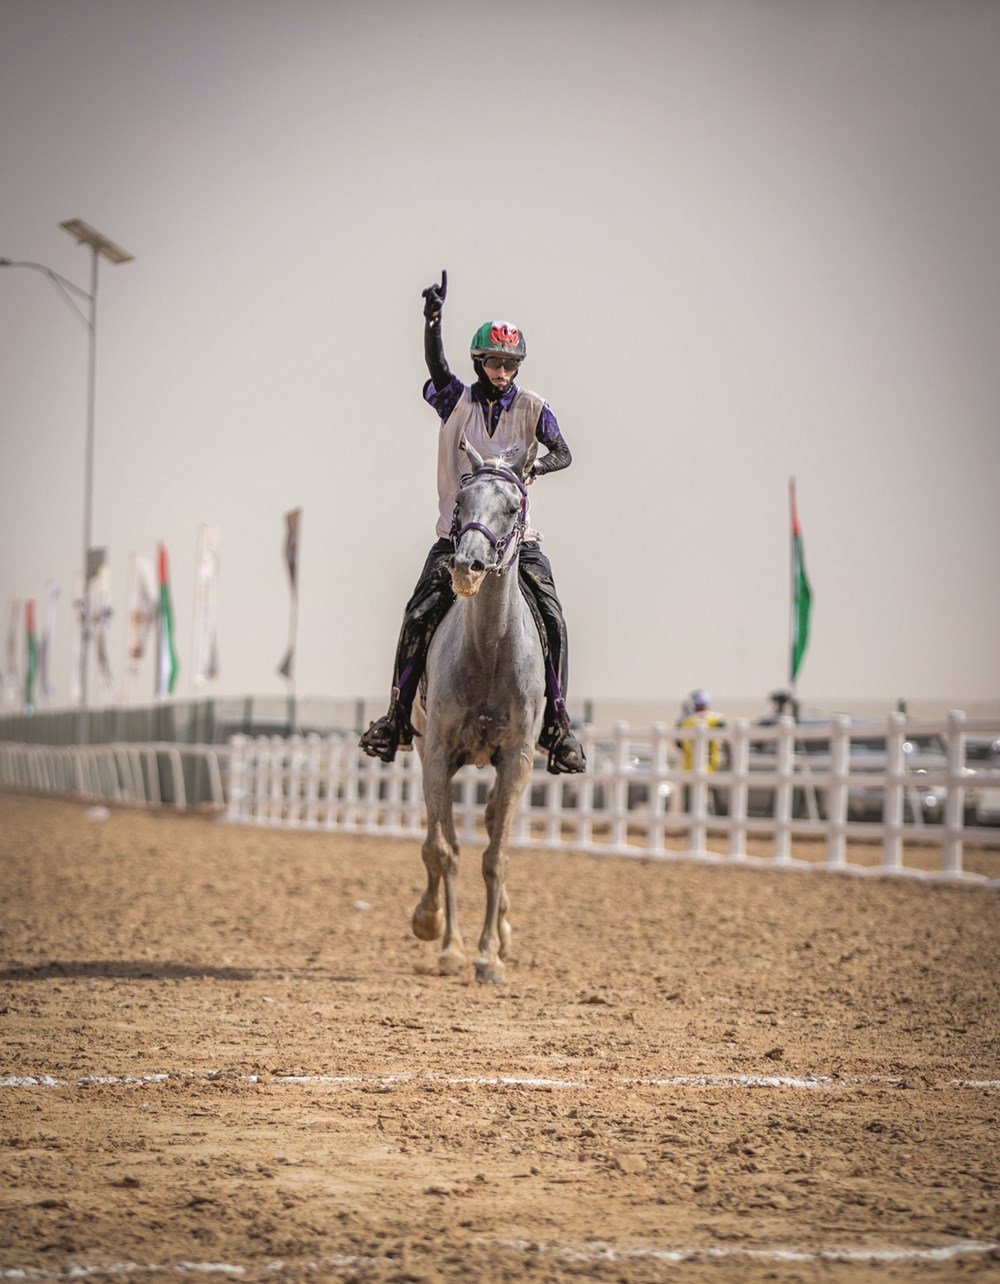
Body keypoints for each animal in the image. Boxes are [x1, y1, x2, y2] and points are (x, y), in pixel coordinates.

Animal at [408, 441, 546, 980]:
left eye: (511, 507)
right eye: (462, 502)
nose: (466, 566)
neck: (488, 652)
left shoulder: (516, 761)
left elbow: (497, 857)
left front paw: (488, 956)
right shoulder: (438, 753)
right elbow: (442, 851)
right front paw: (445, 941)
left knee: (489, 828)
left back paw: (503, 934)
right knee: (440, 836)